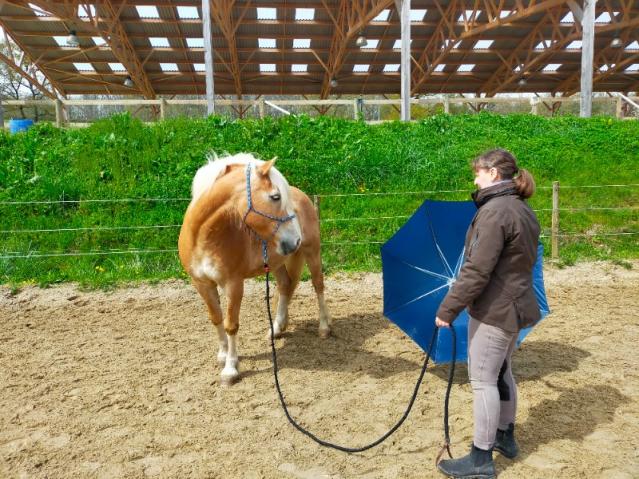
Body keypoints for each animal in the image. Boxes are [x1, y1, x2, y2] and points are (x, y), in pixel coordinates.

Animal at [178, 154, 332, 386]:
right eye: (275, 197)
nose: (294, 240)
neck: (203, 237)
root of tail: (302, 194)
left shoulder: (233, 284)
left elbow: (231, 324)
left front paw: (230, 369)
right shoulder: (201, 283)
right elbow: (216, 317)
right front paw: (222, 354)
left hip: (312, 252)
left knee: (318, 286)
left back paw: (323, 328)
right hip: (277, 262)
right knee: (285, 285)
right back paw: (276, 329)